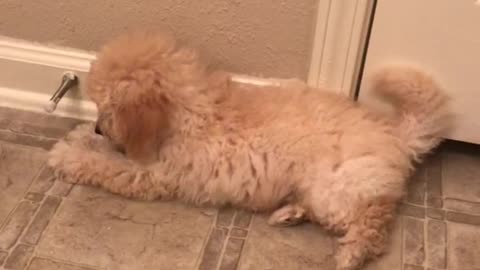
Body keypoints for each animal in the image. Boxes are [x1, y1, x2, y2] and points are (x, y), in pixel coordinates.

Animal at [48, 32, 450, 270]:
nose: (98, 127)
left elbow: (103, 164)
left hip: (339, 187)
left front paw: (68, 154)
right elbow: (104, 152)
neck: (187, 111)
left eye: (108, 109)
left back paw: (350, 255)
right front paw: (80, 136)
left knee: (372, 225)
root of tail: (395, 135)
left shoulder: (149, 174)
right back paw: (289, 214)